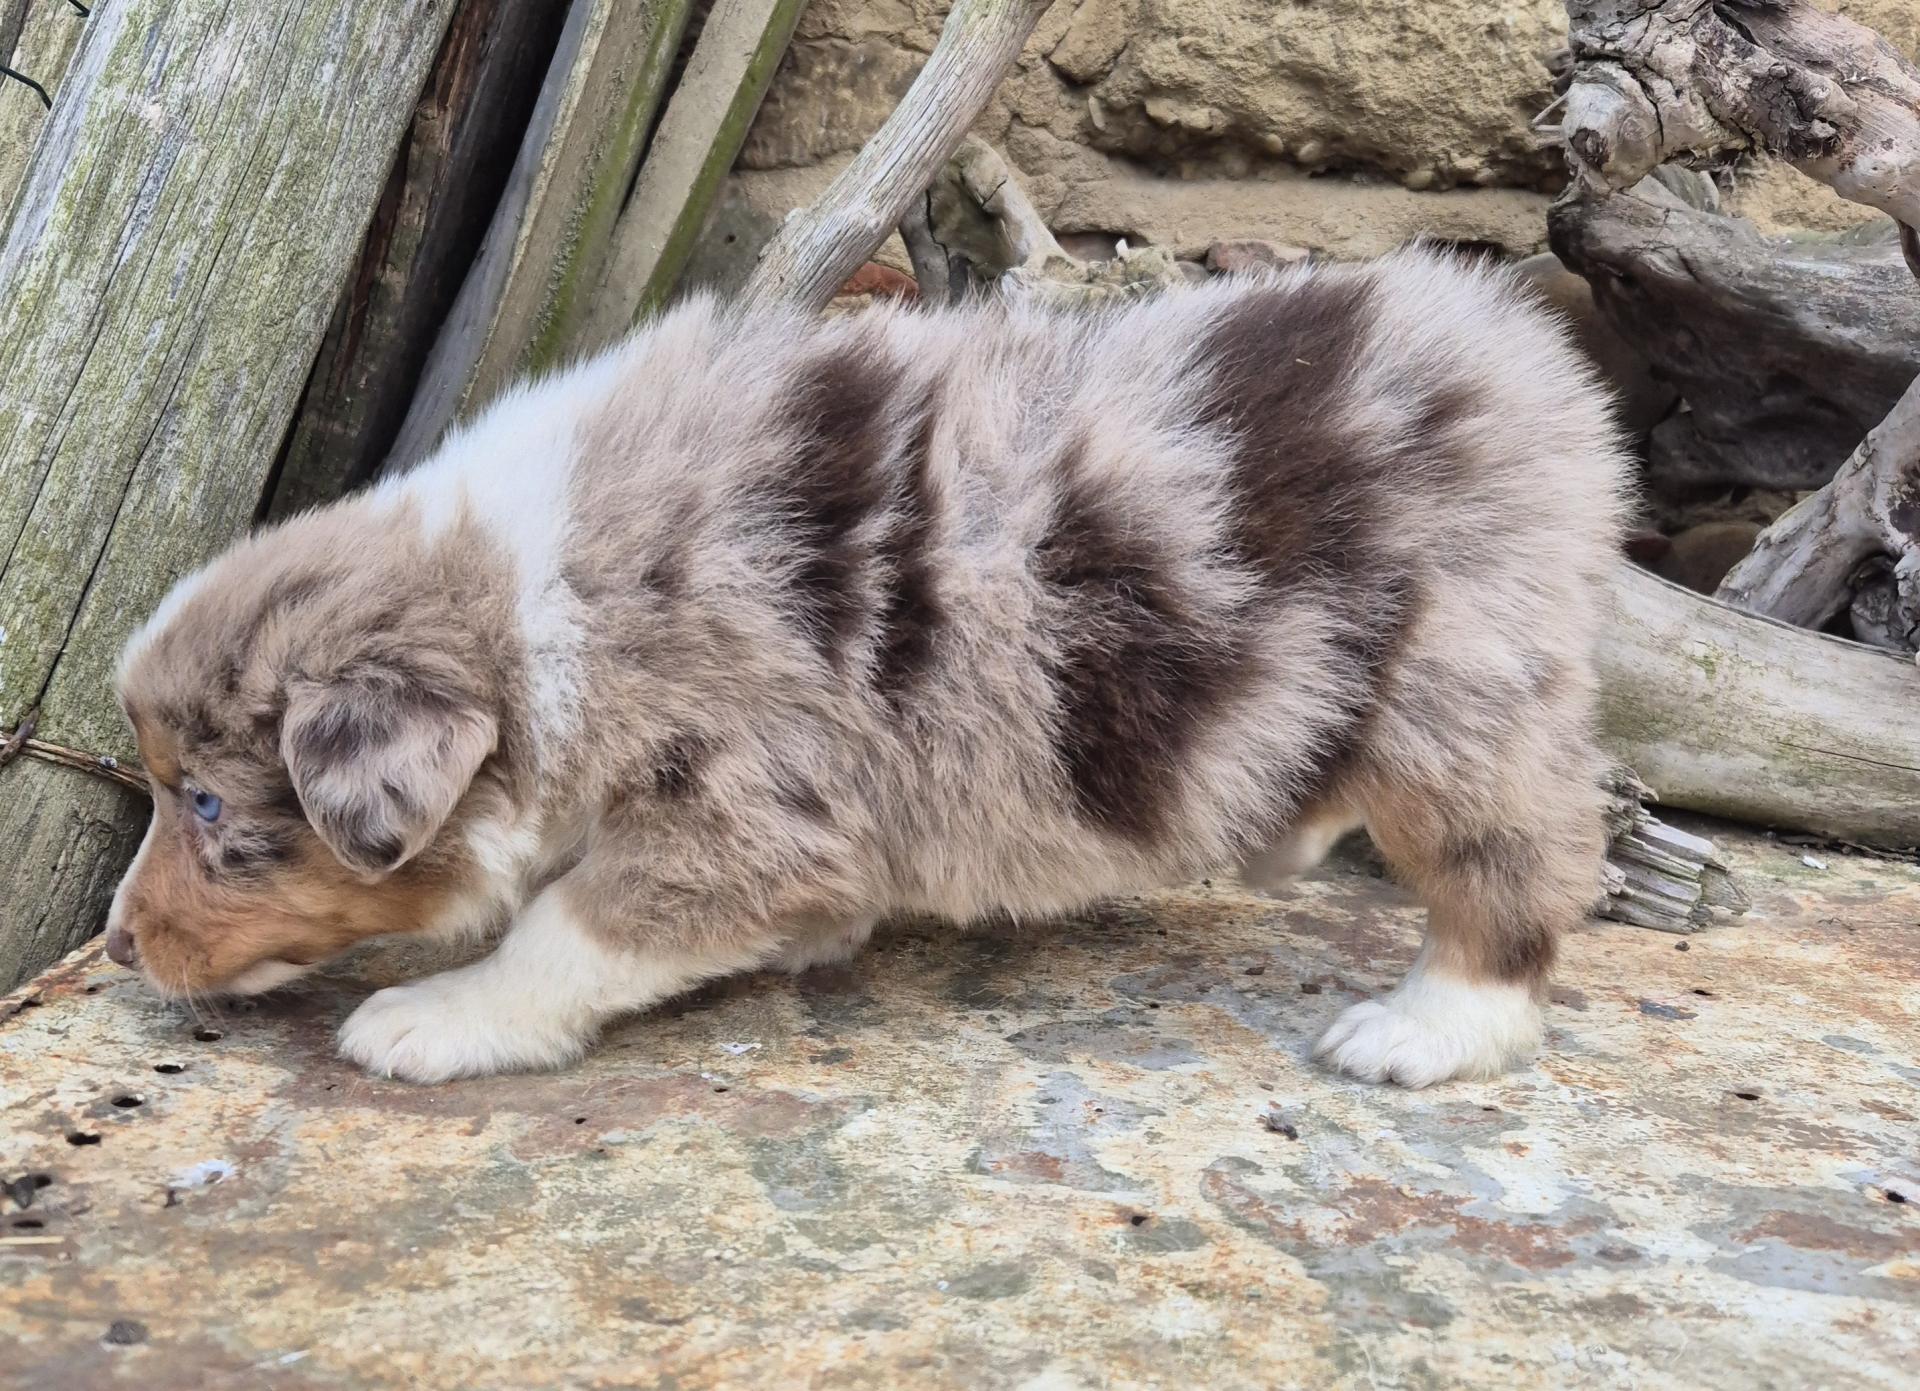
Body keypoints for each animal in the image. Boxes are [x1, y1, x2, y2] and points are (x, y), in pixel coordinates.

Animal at [104, 249, 1629, 1086]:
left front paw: (438, 1016)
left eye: (208, 806)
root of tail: (1525, 358)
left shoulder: (737, 800)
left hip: (1455, 689)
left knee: (1516, 864)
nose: (115, 942)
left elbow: (565, 927)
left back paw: (1432, 1026)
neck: (535, 603)